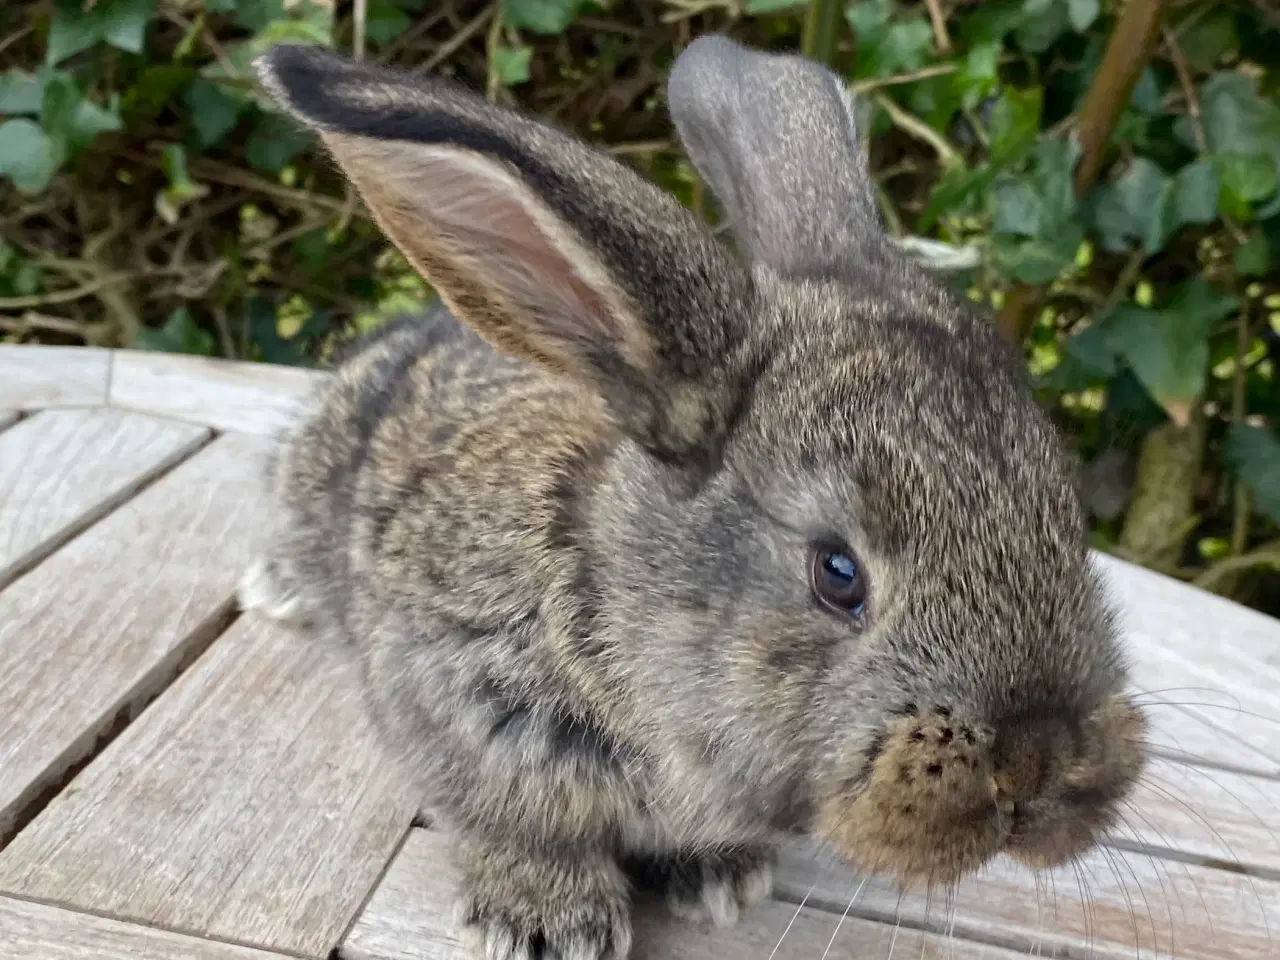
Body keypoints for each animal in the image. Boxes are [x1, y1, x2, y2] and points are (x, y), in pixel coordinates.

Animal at [241, 33, 1152, 960]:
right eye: (838, 572)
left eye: (1065, 516)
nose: (1038, 764)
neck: (603, 601)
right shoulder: (445, 702)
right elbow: (515, 825)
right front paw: (549, 922)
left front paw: (719, 878)